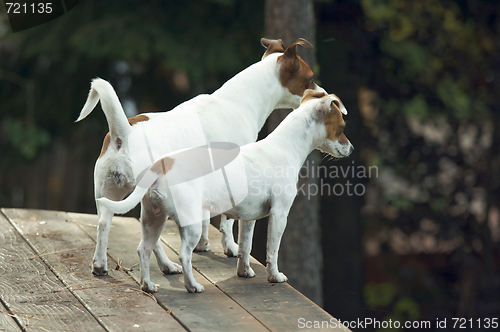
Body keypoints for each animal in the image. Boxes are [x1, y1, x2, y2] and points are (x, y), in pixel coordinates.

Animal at [74, 37, 324, 286]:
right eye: (310, 78)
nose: (323, 94)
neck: (237, 103)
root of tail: (124, 134)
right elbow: (227, 220)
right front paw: (230, 247)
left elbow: (205, 218)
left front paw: (203, 244)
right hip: (146, 197)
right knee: (152, 240)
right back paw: (167, 265)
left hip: (107, 193)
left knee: (104, 224)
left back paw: (100, 265)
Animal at [97, 89, 354, 294]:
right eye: (342, 127)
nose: (351, 148)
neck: (283, 147)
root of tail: (163, 165)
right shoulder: (279, 214)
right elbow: (272, 250)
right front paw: (275, 276)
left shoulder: (249, 217)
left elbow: (245, 247)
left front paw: (244, 271)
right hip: (189, 225)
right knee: (184, 255)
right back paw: (192, 286)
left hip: (153, 219)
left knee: (144, 249)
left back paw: (148, 285)